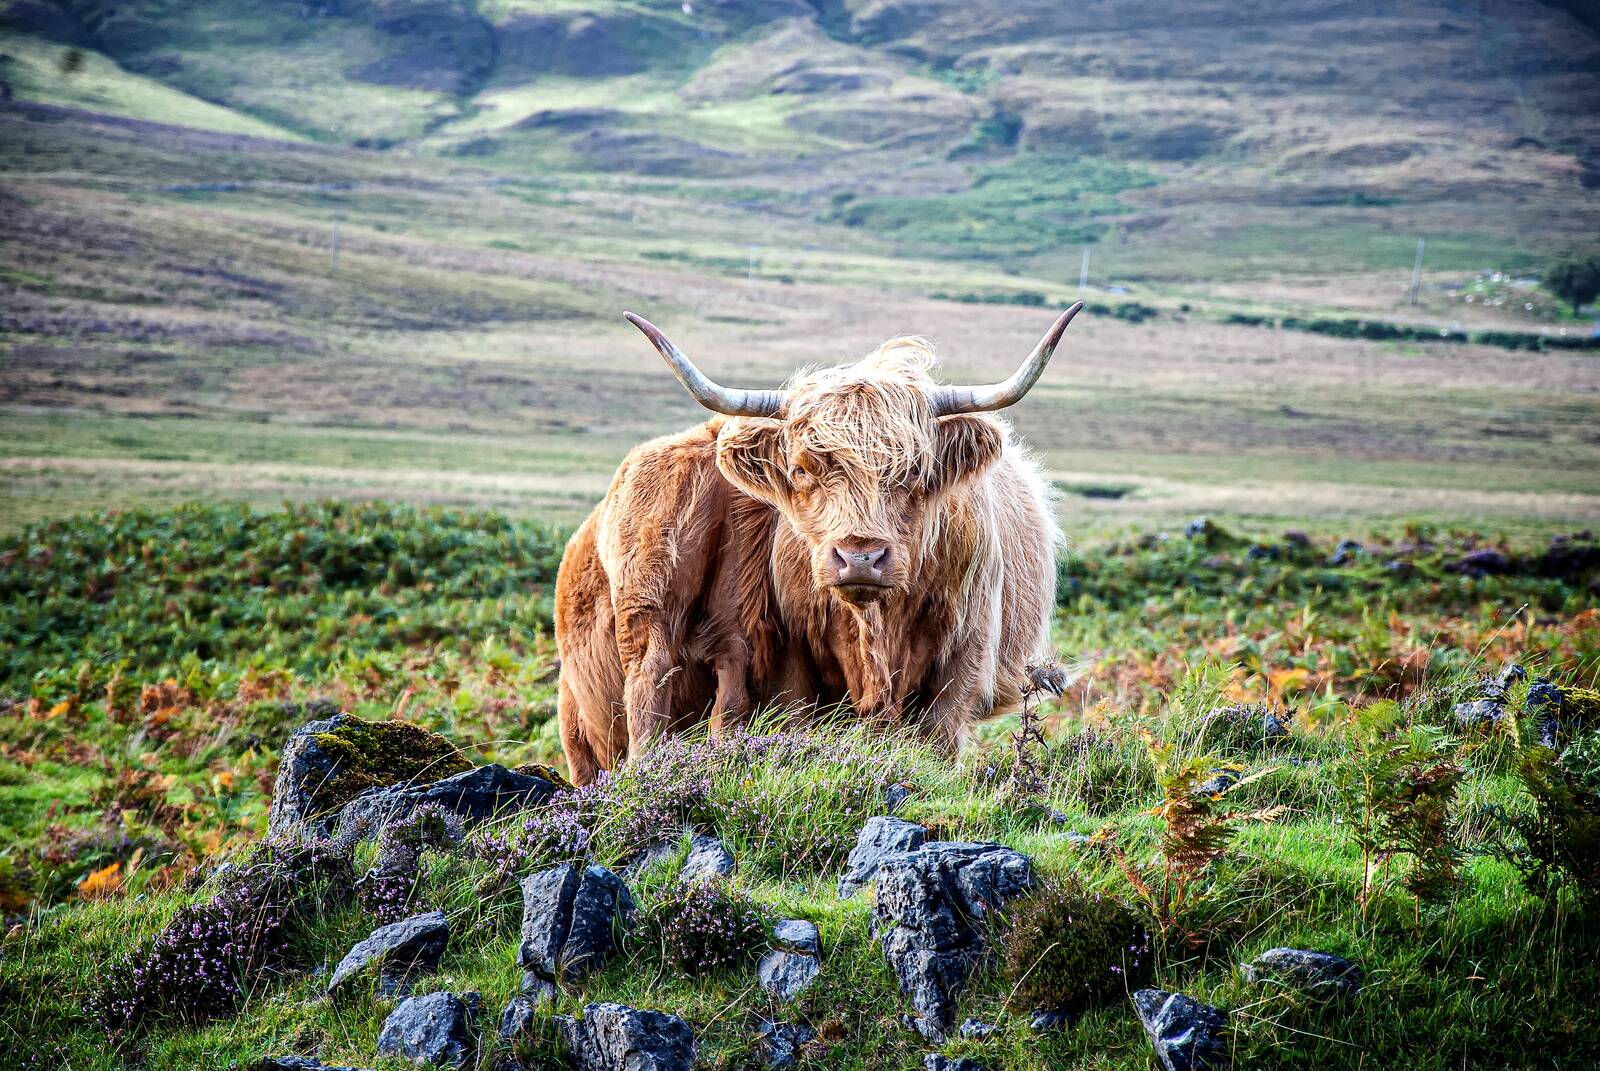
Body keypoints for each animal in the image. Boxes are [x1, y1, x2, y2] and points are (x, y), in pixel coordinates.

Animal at [553, 304, 1082, 785]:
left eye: (915, 468)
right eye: (804, 468)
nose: (860, 557)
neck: (875, 626)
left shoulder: (964, 658)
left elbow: (937, 741)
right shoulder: (792, 657)